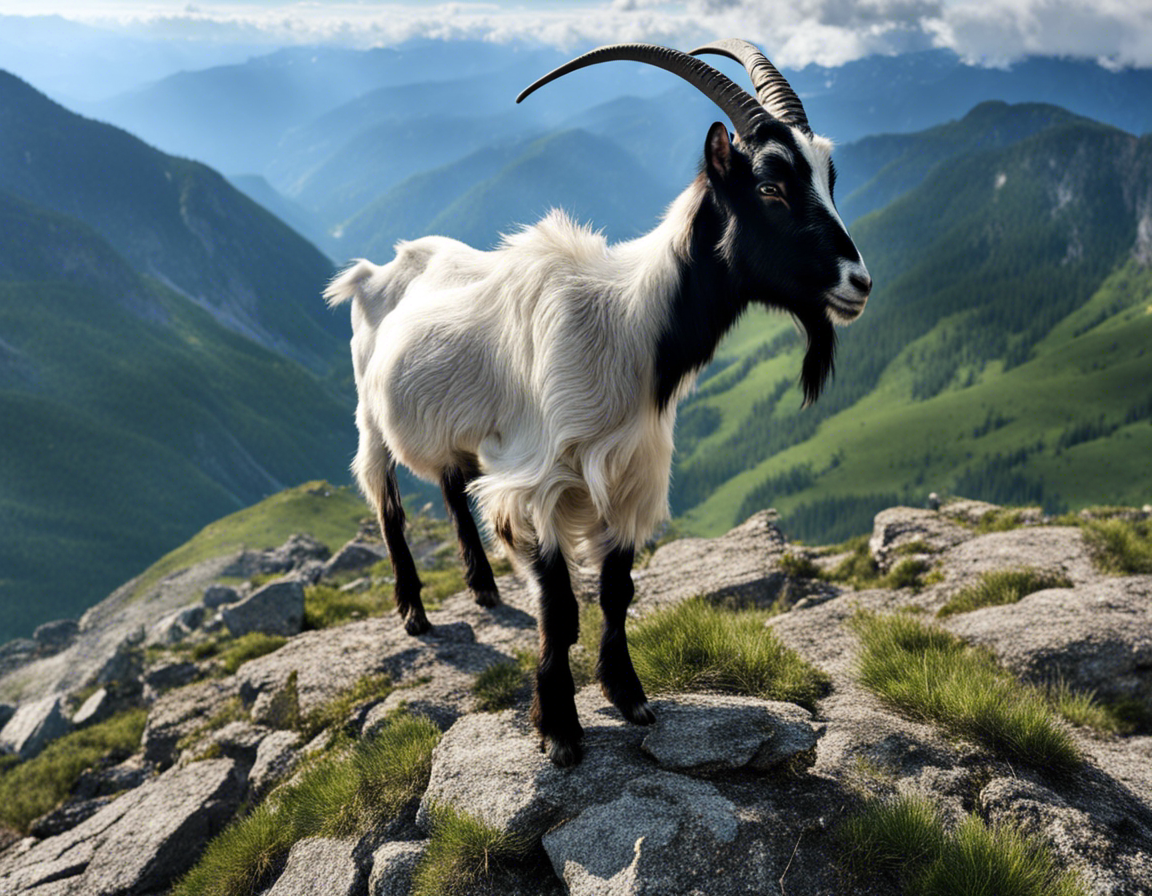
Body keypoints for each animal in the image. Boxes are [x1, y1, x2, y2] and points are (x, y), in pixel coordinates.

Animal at [325, 40, 871, 767]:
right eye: (771, 187)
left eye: (829, 179)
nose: (859, 282)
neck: (630, 327)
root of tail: (375, 270)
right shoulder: (538, 481)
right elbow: (561, 607)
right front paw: (559, 728)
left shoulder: (630, 474)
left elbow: (616, 591)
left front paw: (629, 696)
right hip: (370, 411)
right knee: (386, 499)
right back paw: (413, 611)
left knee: (450, 484)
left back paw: (483, 586)